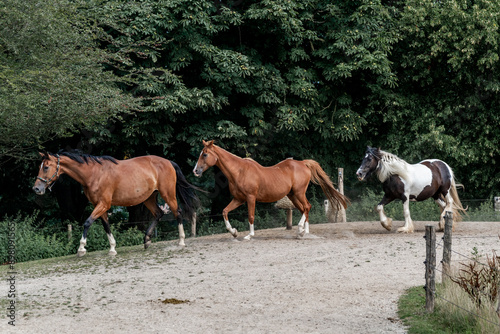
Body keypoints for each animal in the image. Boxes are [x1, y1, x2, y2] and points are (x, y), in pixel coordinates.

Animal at [30, 150, 199, 258]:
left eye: (46, 167)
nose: (36, 188)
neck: (93, 174)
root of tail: (168, 162)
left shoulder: (103, 205)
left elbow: (87, 223)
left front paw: (81, 248)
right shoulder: (101, 207)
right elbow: (106, 226)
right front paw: (112, 249)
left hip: (168, 195)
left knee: (177, 213)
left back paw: (181, 241)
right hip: (149, 198)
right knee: (158, 214)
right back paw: (146, 240)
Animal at [193, 140, 350, 239]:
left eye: (205, 154)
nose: (195, 171)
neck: (239, 171)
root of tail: (303, 163)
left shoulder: (250, 198)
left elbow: (250, 216)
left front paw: (249, 235)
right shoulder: (238, 199)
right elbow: (225, 211)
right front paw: (234, 232)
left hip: (299, 193)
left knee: (307, 206)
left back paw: (300, 230)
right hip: (293, 196)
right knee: (304, 209)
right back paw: (304, 232)